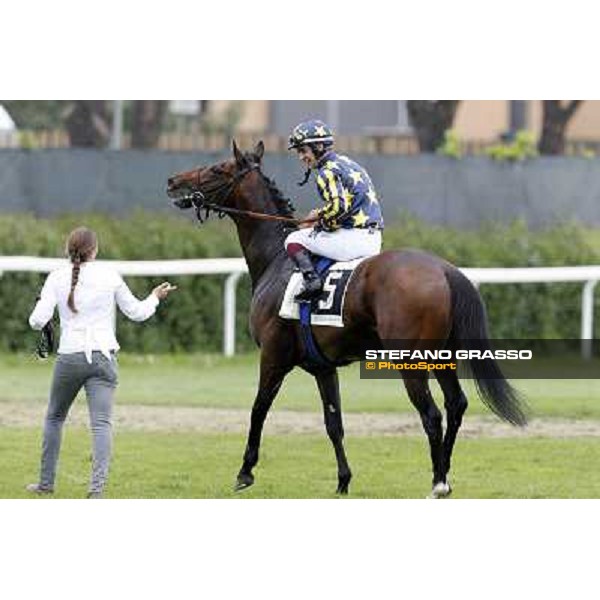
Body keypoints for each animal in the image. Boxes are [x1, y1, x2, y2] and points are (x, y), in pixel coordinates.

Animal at [166, 139, 528, 496]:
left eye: (218, 169)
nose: (173, 181)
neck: (276, 260)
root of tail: (444, 269)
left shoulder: (273, 356)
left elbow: (259, 408)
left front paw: (245, 471)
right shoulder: (323, 367)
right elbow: (333, 423)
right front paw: (343, 479)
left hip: (411, 360)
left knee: (432, 414)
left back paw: (438, 482)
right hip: (442, 356)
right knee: (456, 404)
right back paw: (445, 475)